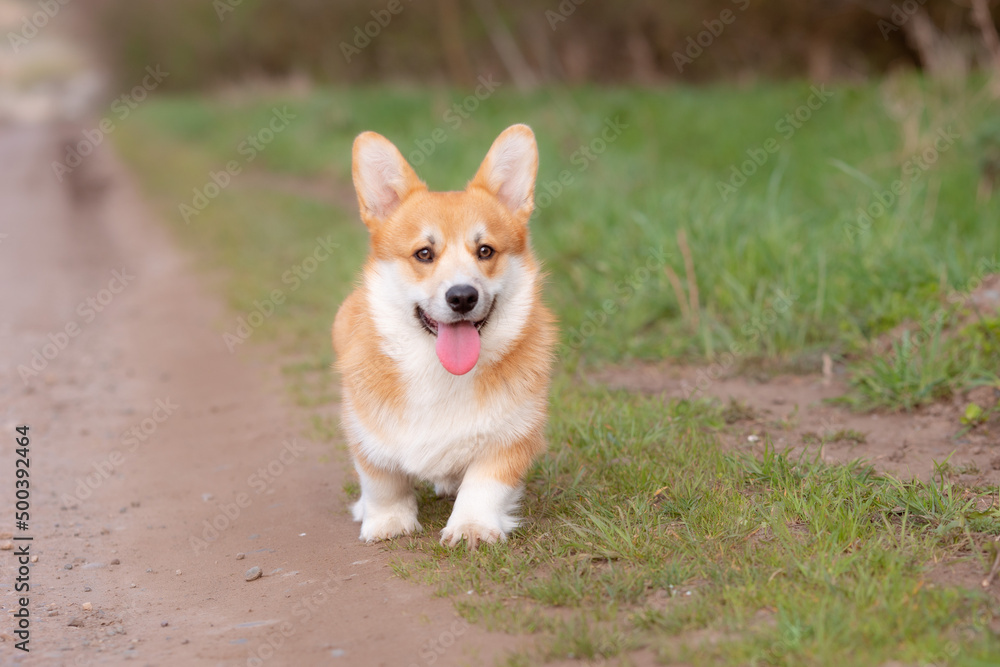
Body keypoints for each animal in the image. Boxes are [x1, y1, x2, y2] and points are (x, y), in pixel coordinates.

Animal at [334, 124, 556, 548]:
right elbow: (381, 480)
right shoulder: (365, 431)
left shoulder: (511, 436)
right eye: (424, 253)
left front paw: (471, 526)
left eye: (485, 251)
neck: (439, 371)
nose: (463, 297)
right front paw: (386, 521)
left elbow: (483, 485)